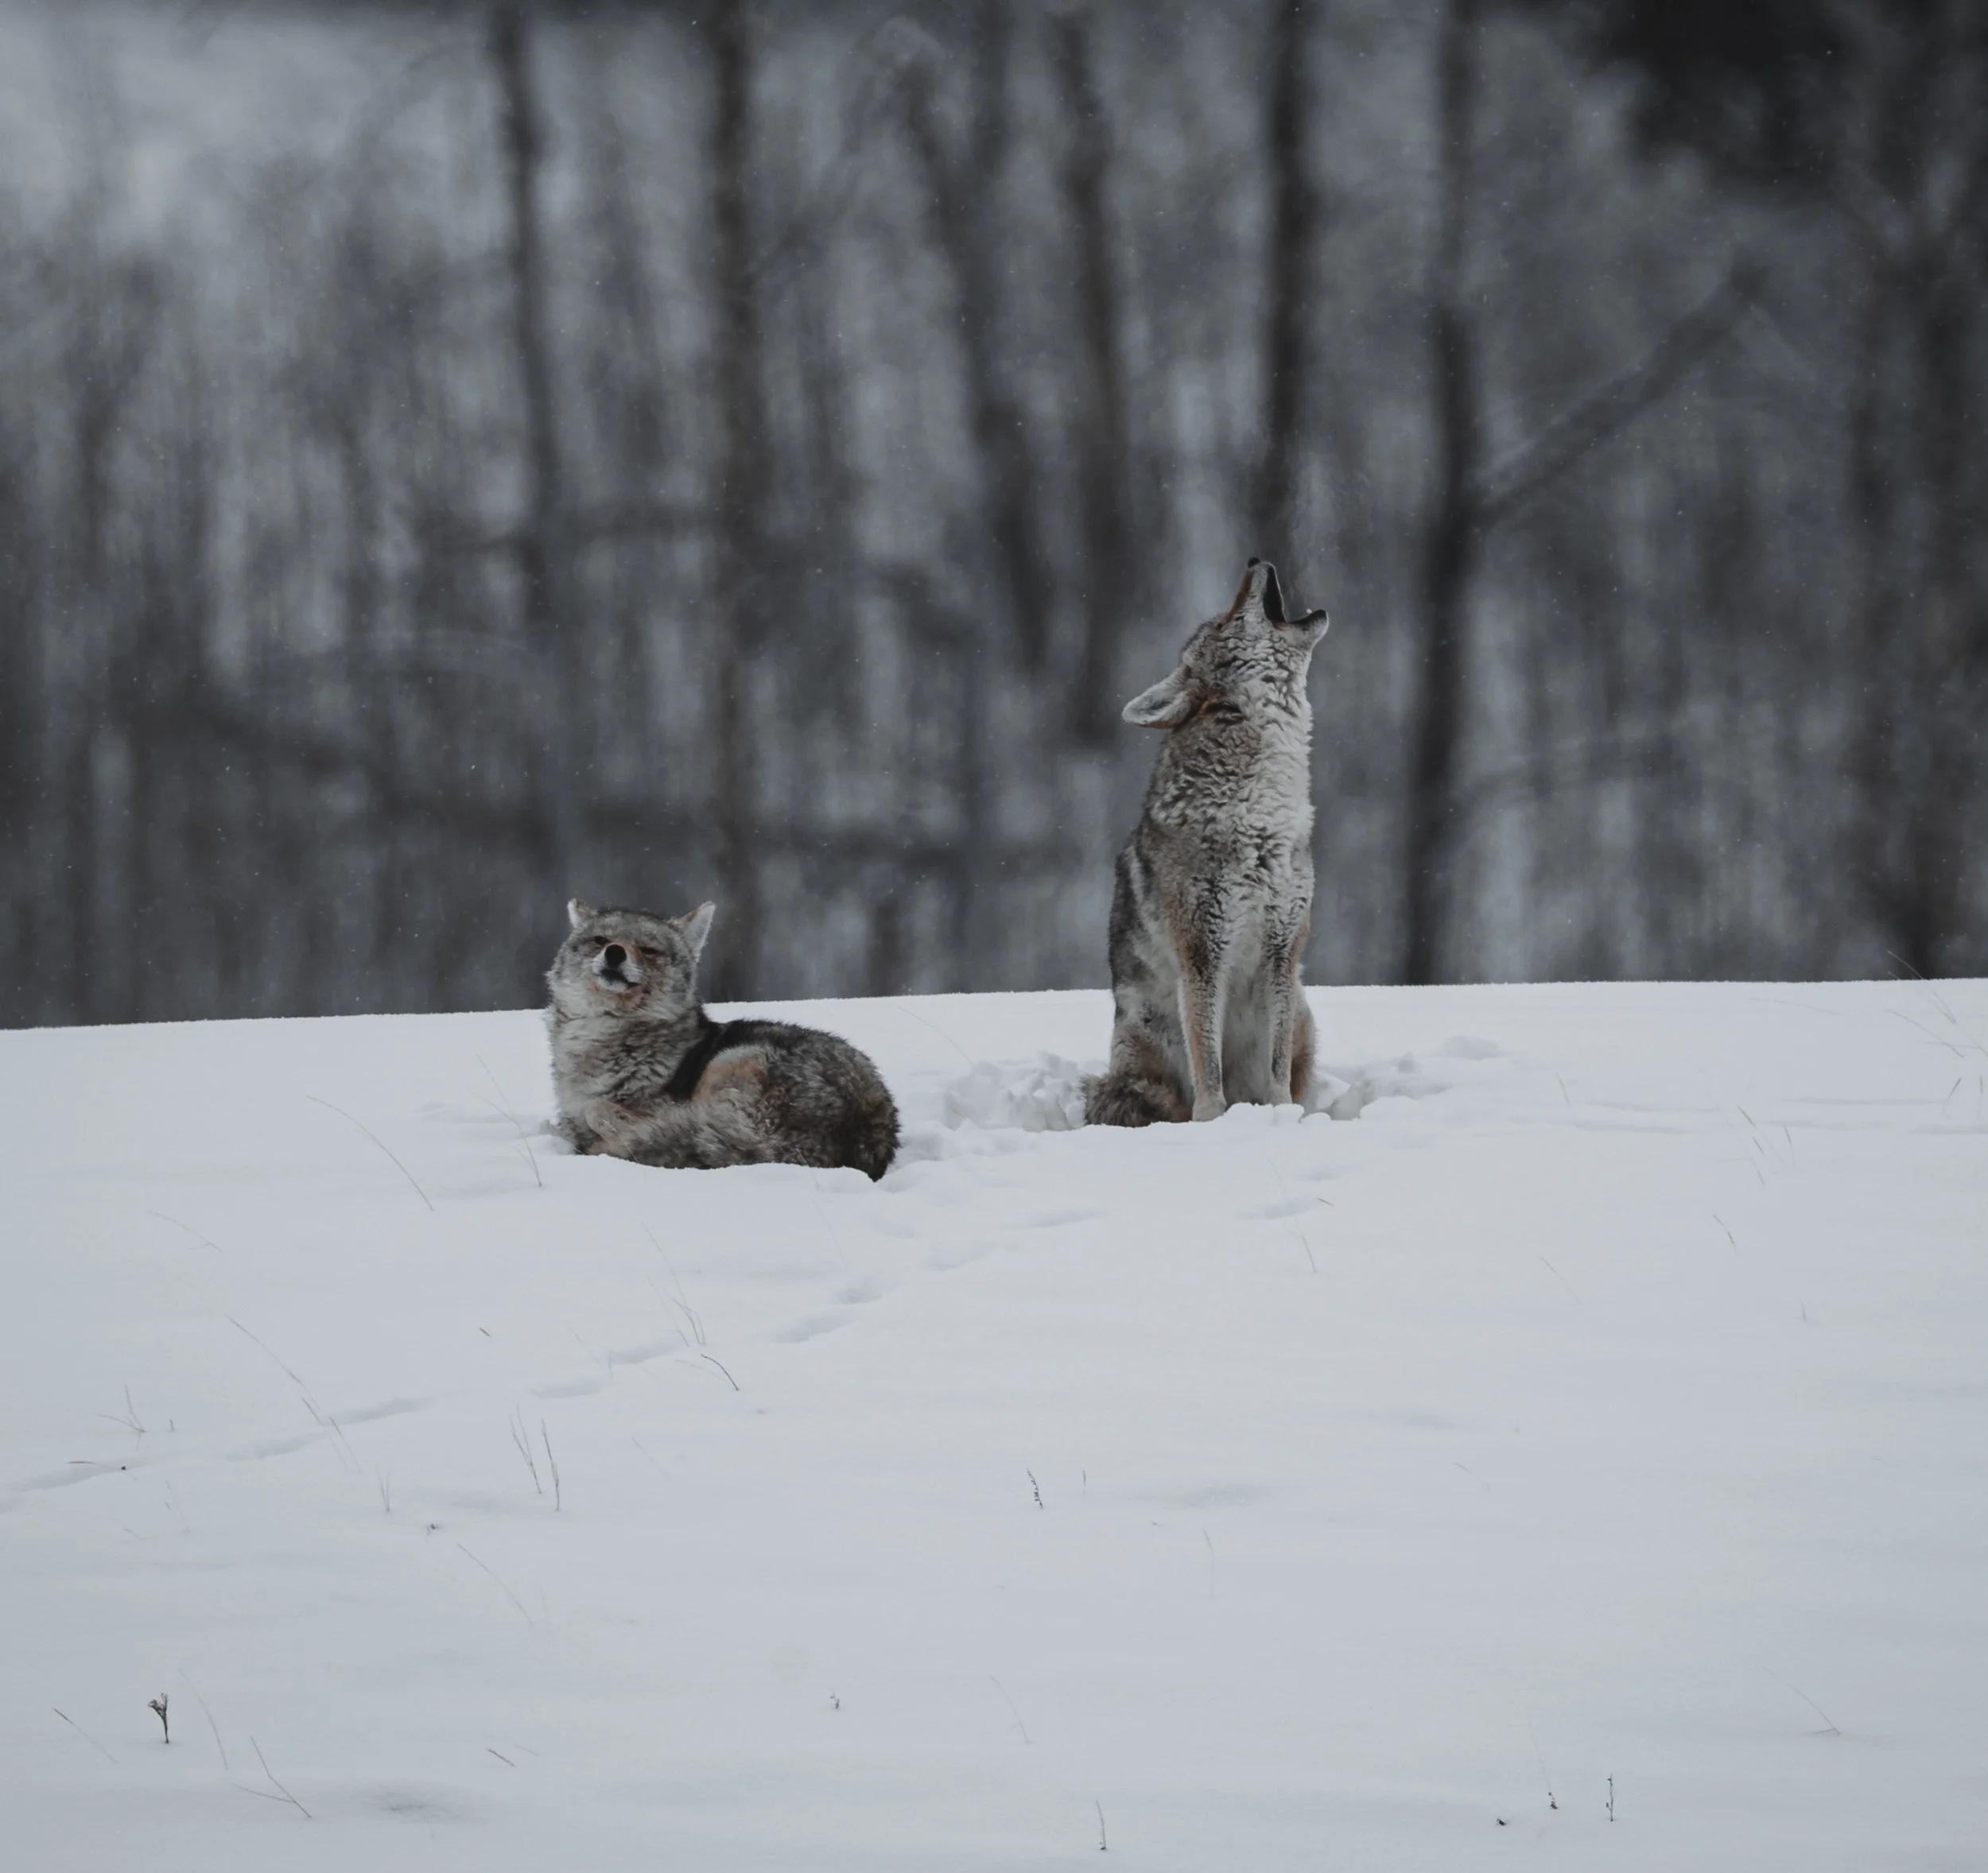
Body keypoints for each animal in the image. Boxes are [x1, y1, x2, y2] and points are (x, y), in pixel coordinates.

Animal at [547, 899, 898, 1179]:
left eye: (648, 950)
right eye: (600, 940)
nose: (615, 952)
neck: (604, 1033)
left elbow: (597, 1109)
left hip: (731, 1063)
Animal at [1084, 558, 1330, 1127]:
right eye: (1224, 621)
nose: (1257, 560)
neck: (1263, 816)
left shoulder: (1283, 952)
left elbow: (1277, 1071)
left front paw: (1282, 1116)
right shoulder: (1201, 952)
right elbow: (1208, 1066)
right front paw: (1215, 1124)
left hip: (1305, 1012)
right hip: (1144, 1047)